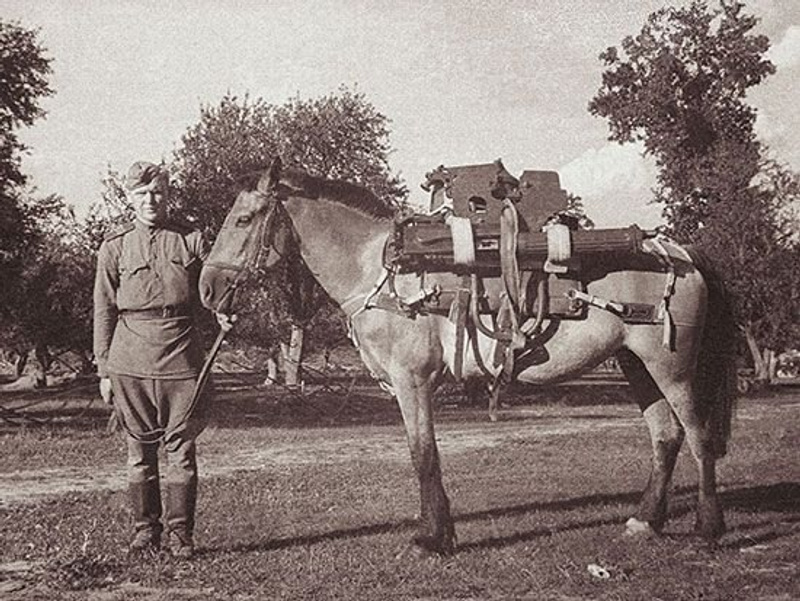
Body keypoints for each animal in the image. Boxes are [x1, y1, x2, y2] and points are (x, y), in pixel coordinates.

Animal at [199, 158, 736, 555]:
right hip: (635, 365)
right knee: (665, 437)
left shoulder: (412, 380)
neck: (386, 271)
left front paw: (431, 539)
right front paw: (441, 532)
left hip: (673, 369)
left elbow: (423, 454)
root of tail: (681, 252)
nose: (207, 287)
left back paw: (709, 529)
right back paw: (645, 522)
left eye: (243, 219)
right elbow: (424, 453)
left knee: (698, 437)